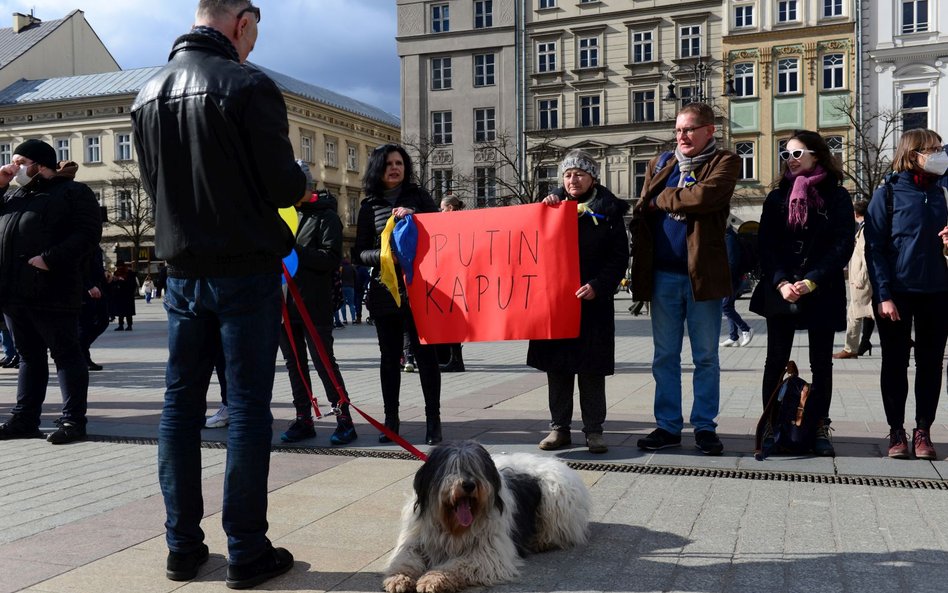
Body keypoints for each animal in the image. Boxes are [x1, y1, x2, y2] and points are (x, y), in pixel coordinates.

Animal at [382, 440, 588, 592]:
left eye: (475, 467)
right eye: (453, 467)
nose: (468, 485)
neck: (452, 526)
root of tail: (555, 463)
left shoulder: (489, 552)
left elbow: (457, 564)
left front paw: (433, 578)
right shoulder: (415, 539)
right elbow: (405, 558)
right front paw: (399, 578)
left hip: (556, 500)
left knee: (558, 531)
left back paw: (540, 541)